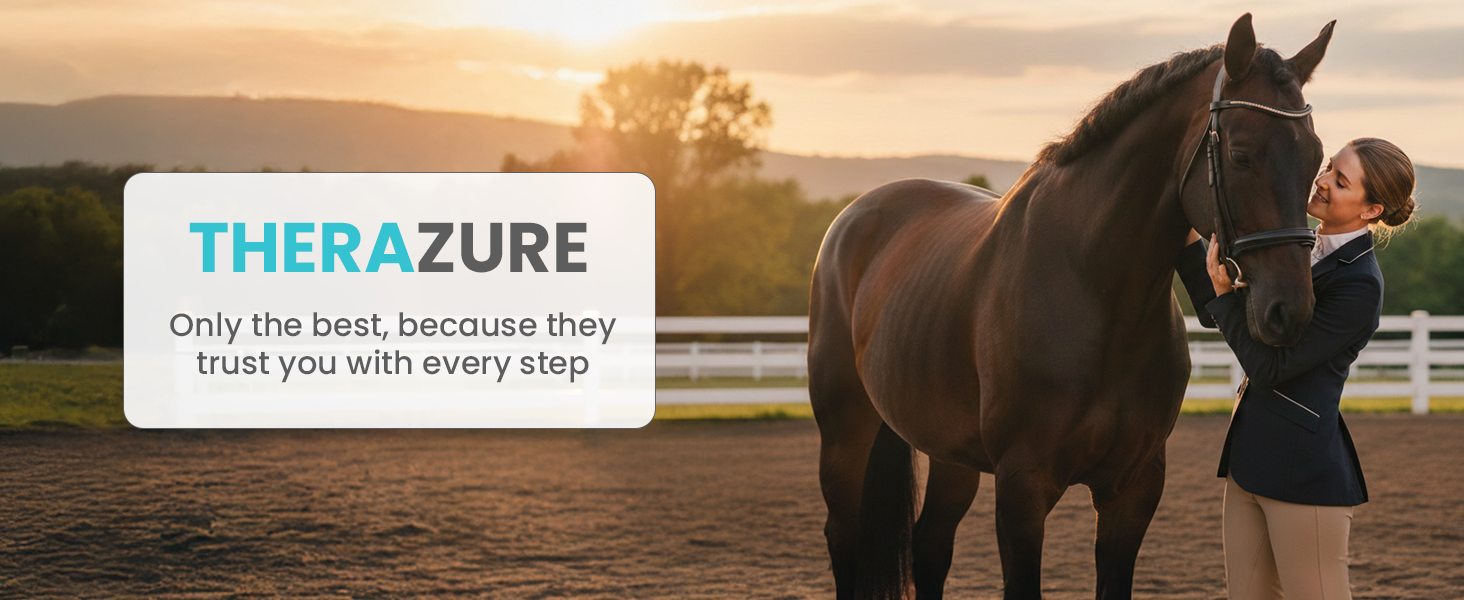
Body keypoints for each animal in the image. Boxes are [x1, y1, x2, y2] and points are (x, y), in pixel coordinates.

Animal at [808, 14, 1334, 600]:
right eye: (1241, 155)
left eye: (1316, 160)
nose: (1290, 310)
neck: (1095, 294)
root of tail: (857, 214)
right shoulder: (1022, 488)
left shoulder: (1134, 487)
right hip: (845, 434)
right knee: (844, 538)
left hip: (949, 452)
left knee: (930, 546)